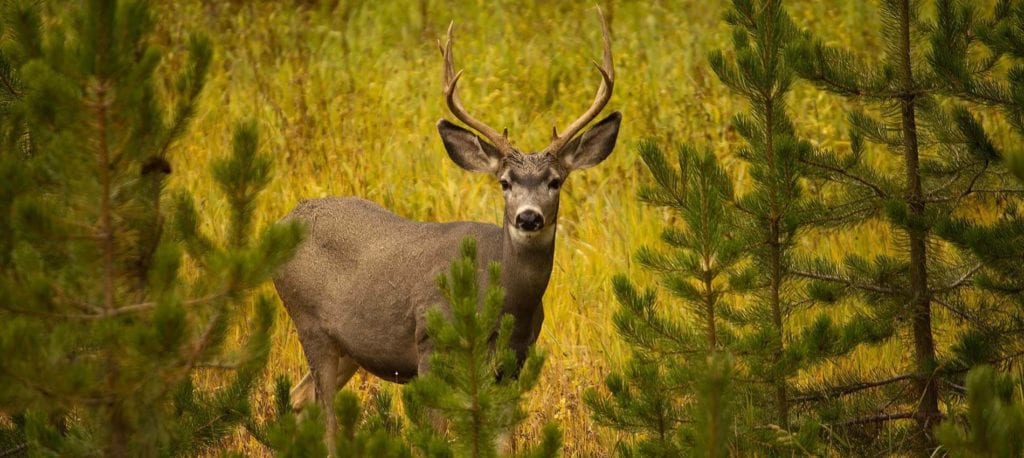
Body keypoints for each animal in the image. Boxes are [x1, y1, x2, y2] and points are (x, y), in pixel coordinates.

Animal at [272, 9, 618, 438]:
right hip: (309, 323)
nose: (528, 216)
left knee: (300, 398)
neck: (502, 297)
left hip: (350, 345)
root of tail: (285, 219)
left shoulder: (513, 364)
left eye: (555, 181)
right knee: (326, 416)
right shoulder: (429, 347)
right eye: (504, 182)